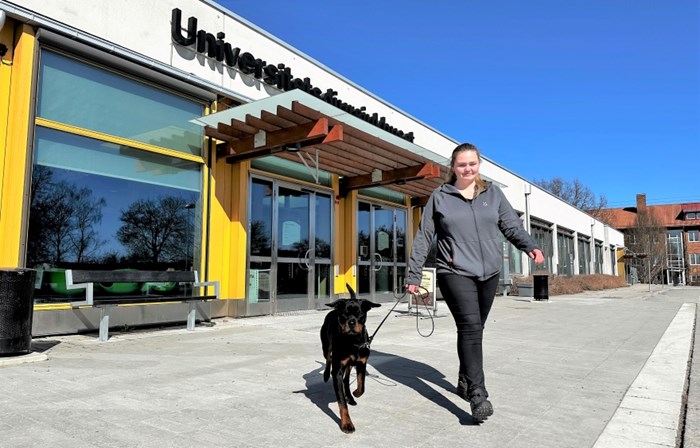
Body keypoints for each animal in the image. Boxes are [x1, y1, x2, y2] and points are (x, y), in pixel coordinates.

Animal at [320, 284, 380, 434]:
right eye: (344, 314)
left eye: (359, 314)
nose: (351, 322)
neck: (353, 342)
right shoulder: (338, 370)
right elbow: (342, 403)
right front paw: (347, 424)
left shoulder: (362, 363)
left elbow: (361, 385)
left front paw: (355, 394)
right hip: (326, 345)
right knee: (328, 358)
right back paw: (326, 375)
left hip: (350, 365)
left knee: (346, 379)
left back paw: (350, 397)